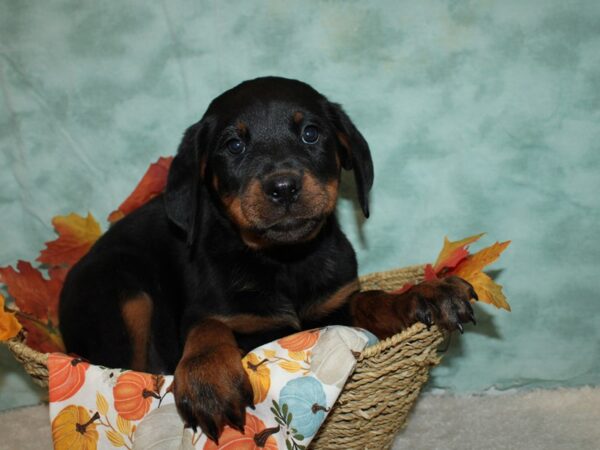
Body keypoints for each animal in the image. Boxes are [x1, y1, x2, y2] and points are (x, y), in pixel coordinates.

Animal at [58, 75, 476, 442]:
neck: (283, 261)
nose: (284, 187)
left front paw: (427, 293)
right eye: (233, 146)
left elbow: (370, 299)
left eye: (311, 133)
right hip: (125, 295)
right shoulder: (223, 320)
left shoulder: (333, 309)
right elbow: (208, 326)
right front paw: (208, 377)